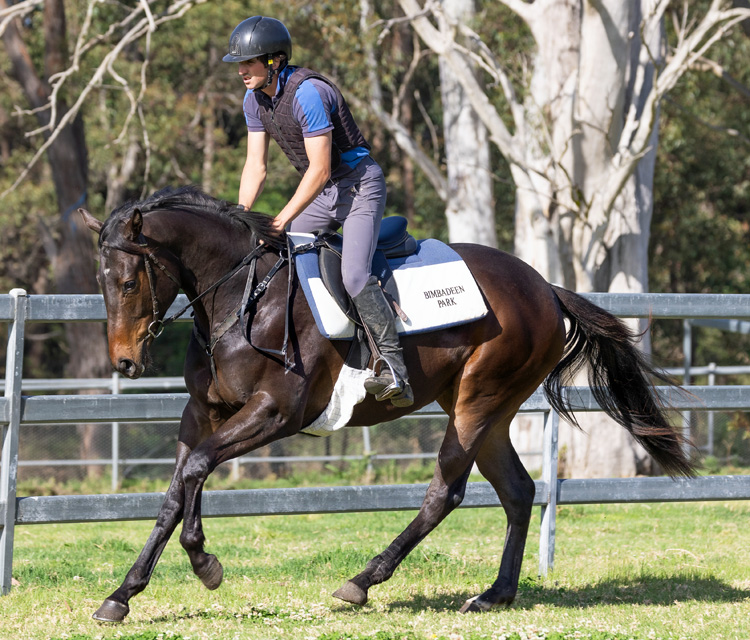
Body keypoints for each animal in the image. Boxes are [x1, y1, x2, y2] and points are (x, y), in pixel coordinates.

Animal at [79, 184, 696, 620]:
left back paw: (364, 580)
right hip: (488, 411)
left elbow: (197, 471)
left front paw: (203, 562)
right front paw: (126, 592)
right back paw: (494, 594)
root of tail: (545, 289)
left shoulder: (275, 412)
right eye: (102, 284)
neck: (241, 296)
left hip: (476, 401)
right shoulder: (203, 414)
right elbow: (177, 490)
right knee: (518, 491)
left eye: (129, 282)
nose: (125, 363)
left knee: (445, 492)